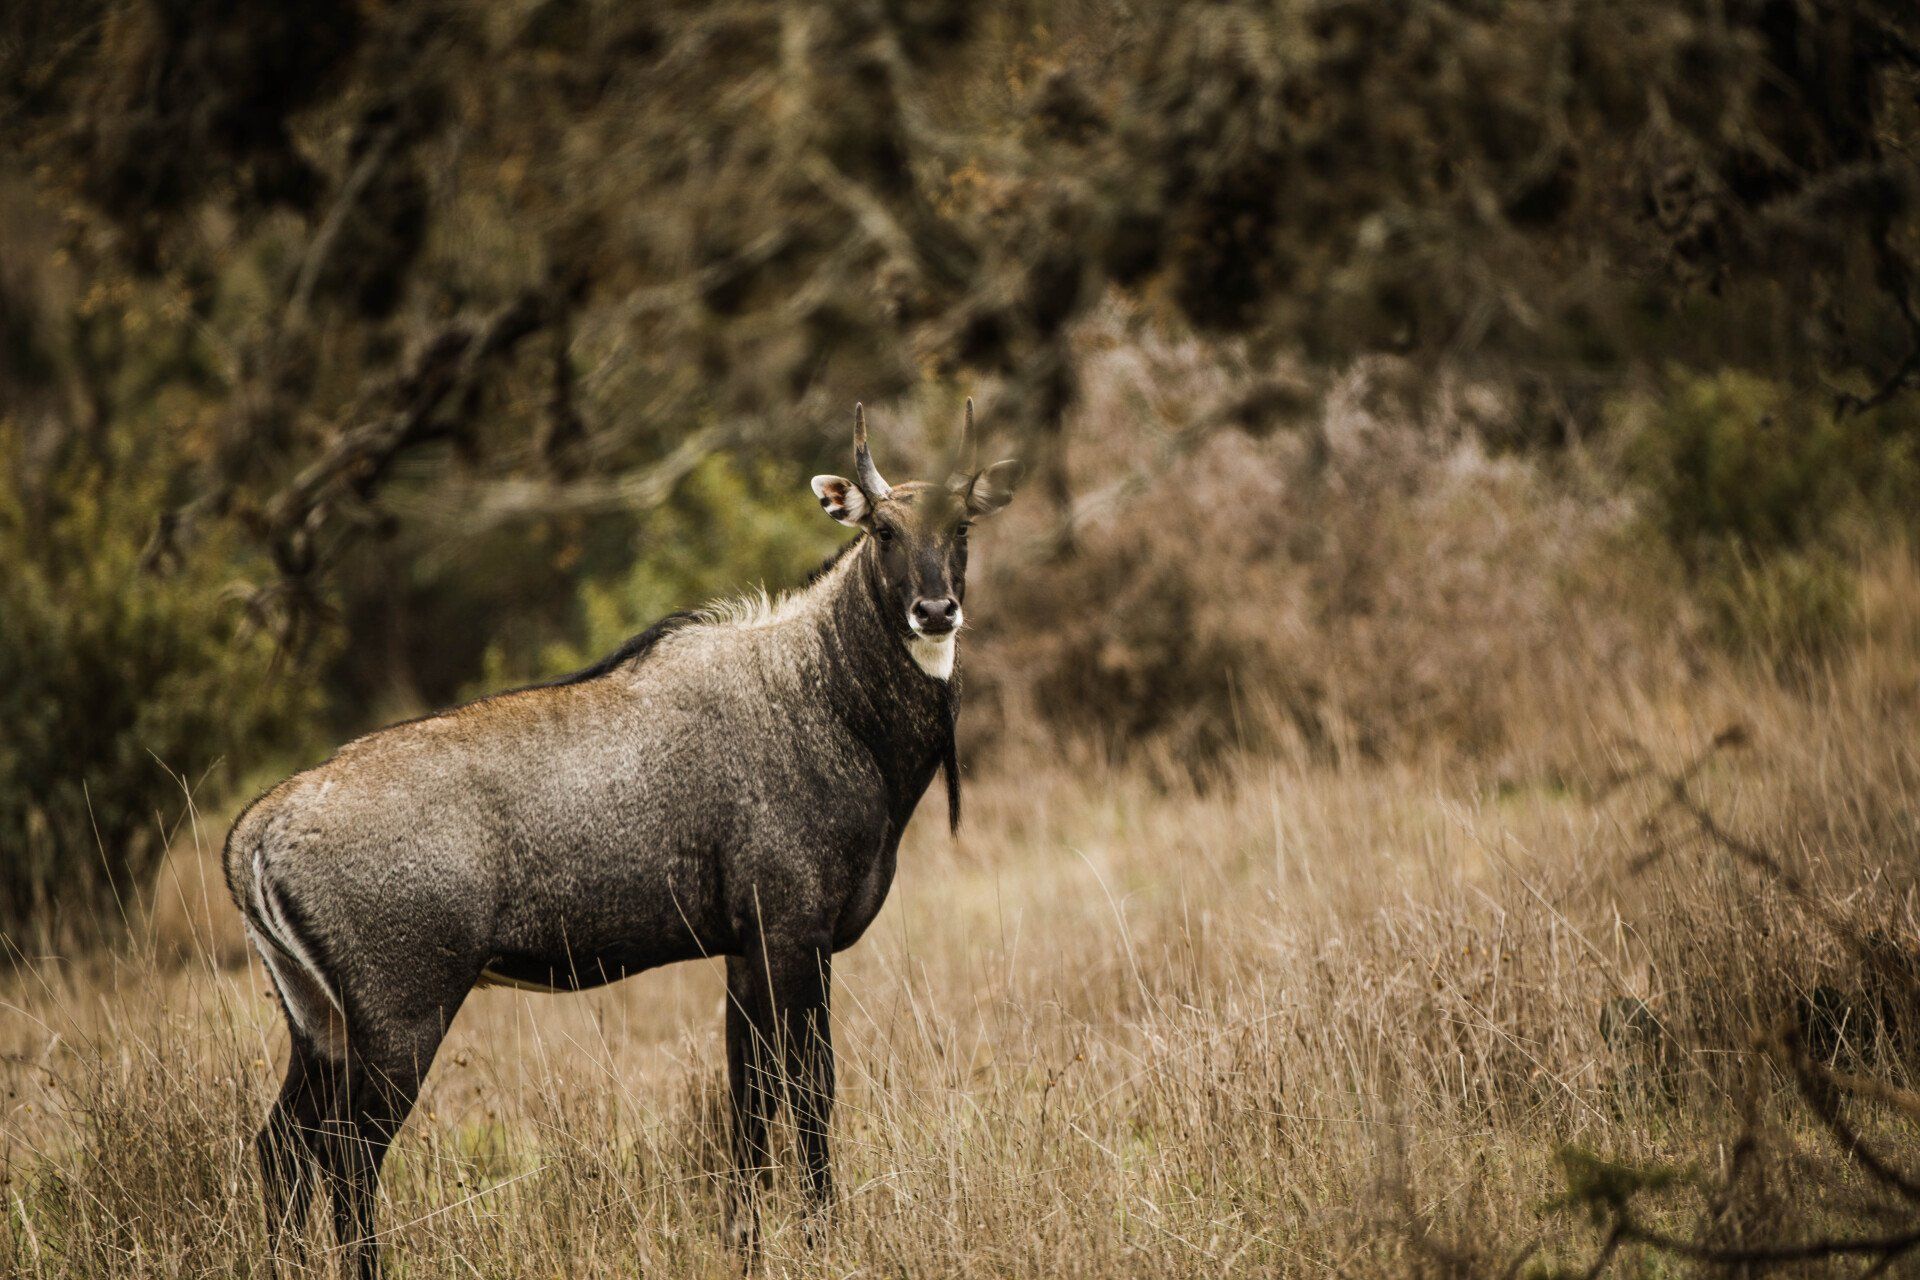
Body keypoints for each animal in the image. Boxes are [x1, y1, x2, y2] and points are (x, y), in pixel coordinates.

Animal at [225, 402, 1021, 1276]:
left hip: (320, 1024)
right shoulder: (793, 936)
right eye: (882, 529)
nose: (935, 612)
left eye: (963, 524)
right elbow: (810, 1097)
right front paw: (824, 1241)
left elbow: (748, 1106)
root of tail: (256, 832)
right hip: (402, 1018)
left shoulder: (744, 952)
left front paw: (744, 1247)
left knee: (284, 1147)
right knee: (348, 1154)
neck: (826, 692)